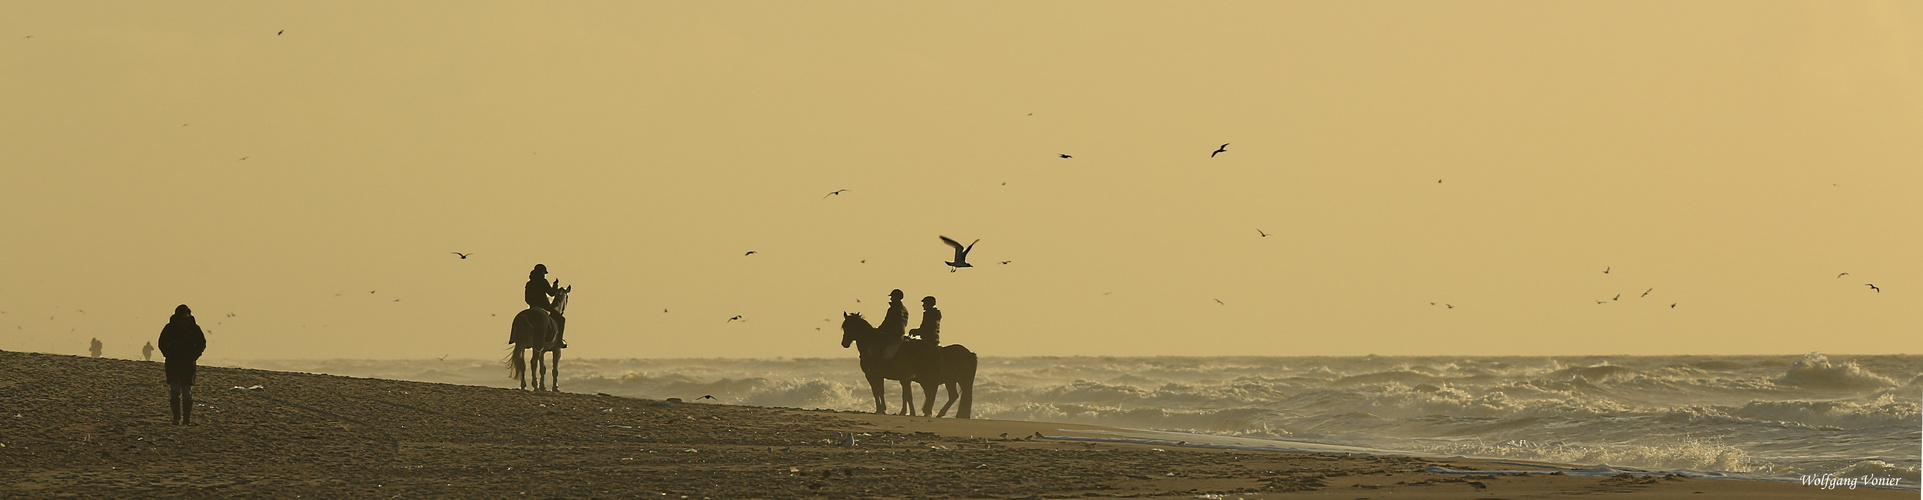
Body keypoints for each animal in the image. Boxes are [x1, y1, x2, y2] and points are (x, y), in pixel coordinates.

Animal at [842, 311, 976, 417]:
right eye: (844, 327)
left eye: (849, 326)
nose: (844, 343)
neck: (870, 344)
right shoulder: (903, 378)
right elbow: (904, 395)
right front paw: (905, 412)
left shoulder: (872, 375)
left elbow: (878, 392)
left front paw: (881, 409)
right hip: (950, 380)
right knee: (951, 395)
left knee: (936, 393)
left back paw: (932, 412)